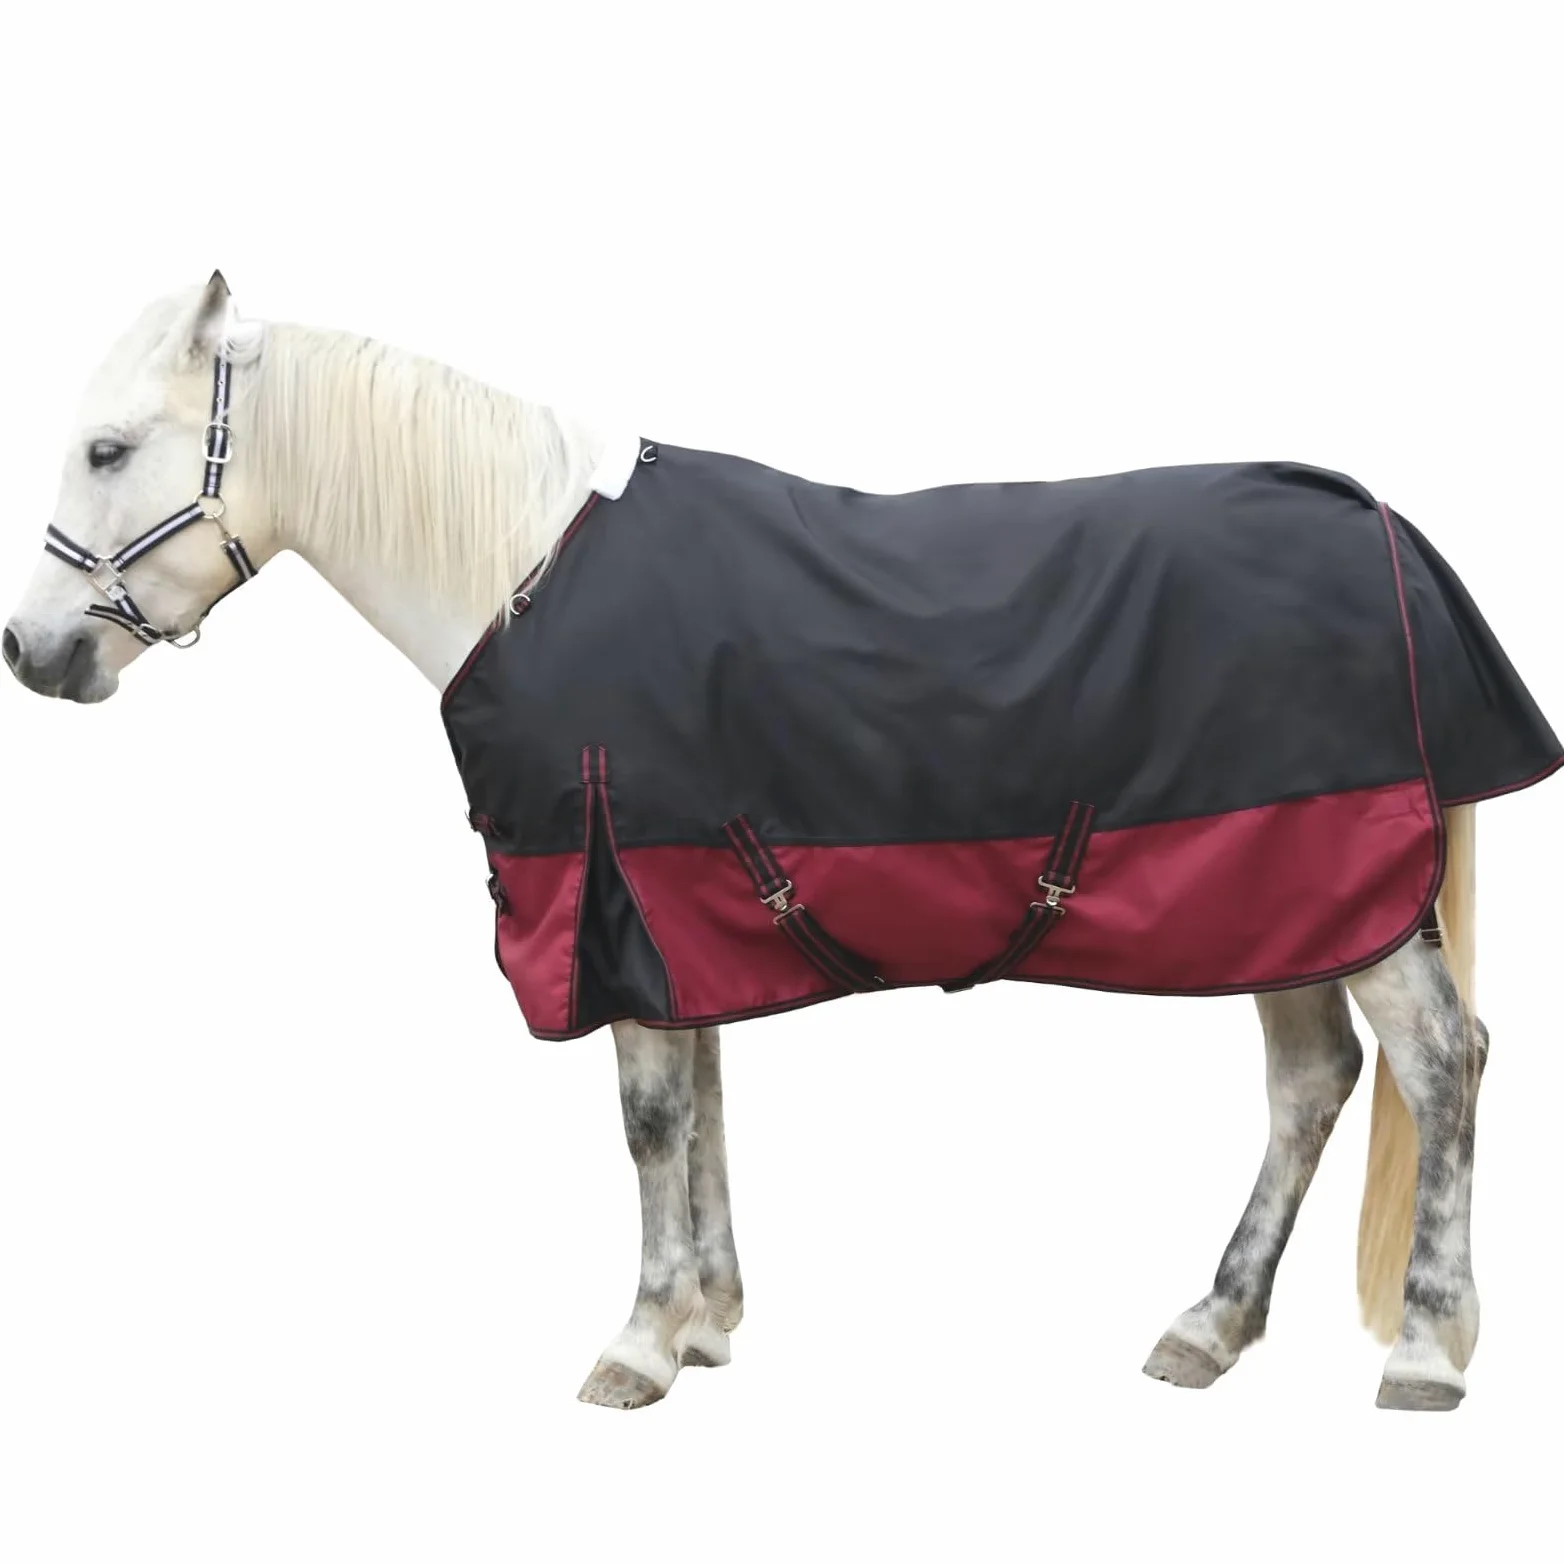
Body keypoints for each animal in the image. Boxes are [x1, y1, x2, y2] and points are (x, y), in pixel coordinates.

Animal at [4, 273, 1543, 1413]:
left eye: (107, 449)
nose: (32, 652)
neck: (521, 575)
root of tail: (1382, 532)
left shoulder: (612, 894)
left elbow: (651, 1120)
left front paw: (638, 1342)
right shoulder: (667, 906)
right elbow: (703, 1107)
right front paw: (705, 1321)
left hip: (1343, 897)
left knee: (1438, 1063)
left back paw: (1423, 1349)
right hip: (1287, 902)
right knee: (1312, 1082)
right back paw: (1210, 1326)